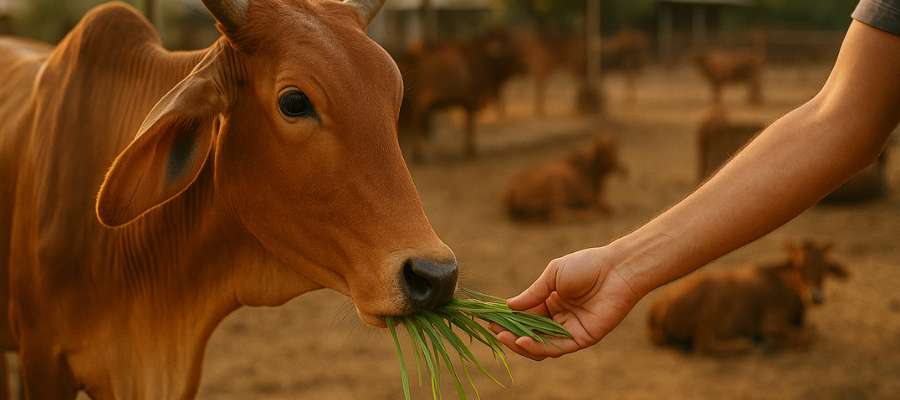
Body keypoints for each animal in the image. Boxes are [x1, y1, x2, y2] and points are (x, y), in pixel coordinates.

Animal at [646, 240, 849, 355]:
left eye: (824, 269)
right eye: (800, 268)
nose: (816, 297)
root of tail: (655, 310)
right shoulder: (770, 321)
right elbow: (807, 335)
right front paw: (771, 341)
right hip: (709, 316)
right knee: (703, 345)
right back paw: (751, 344)